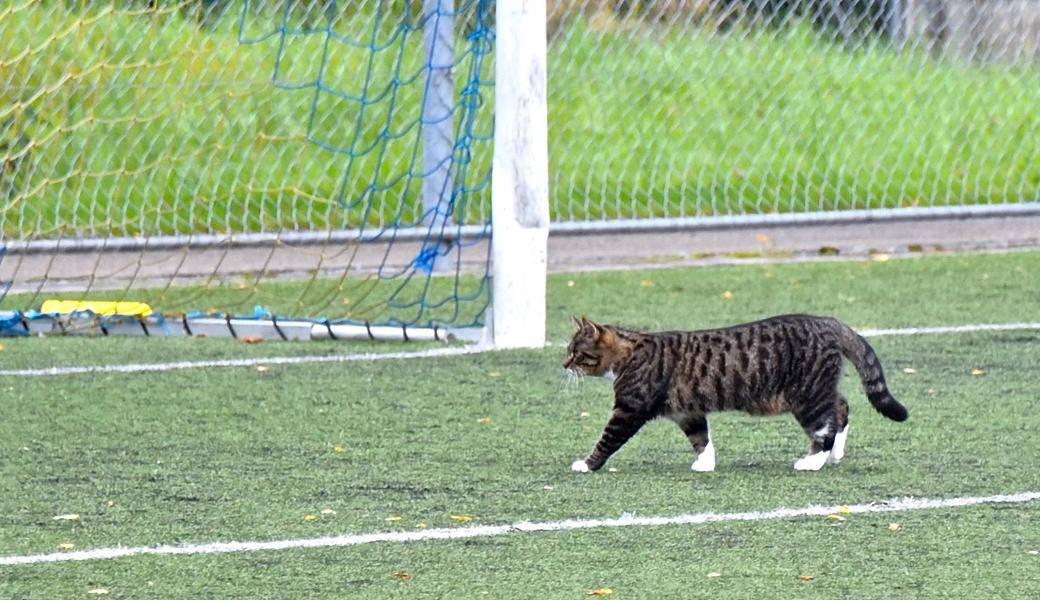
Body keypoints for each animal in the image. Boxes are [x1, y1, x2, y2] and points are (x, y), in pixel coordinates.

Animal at [565, 314, 906, 472]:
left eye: (576, 353)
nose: (563, 363)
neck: (629, 352)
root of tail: (827, 321)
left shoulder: (629, 409)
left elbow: (607, 440)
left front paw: (587, 464)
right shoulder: (687, 410)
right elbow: (701, 439)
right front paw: (705, 463)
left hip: (807, 396)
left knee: (826, 427)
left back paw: (814, 460)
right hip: (817, 391)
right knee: (842, 409)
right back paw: (833, 454)